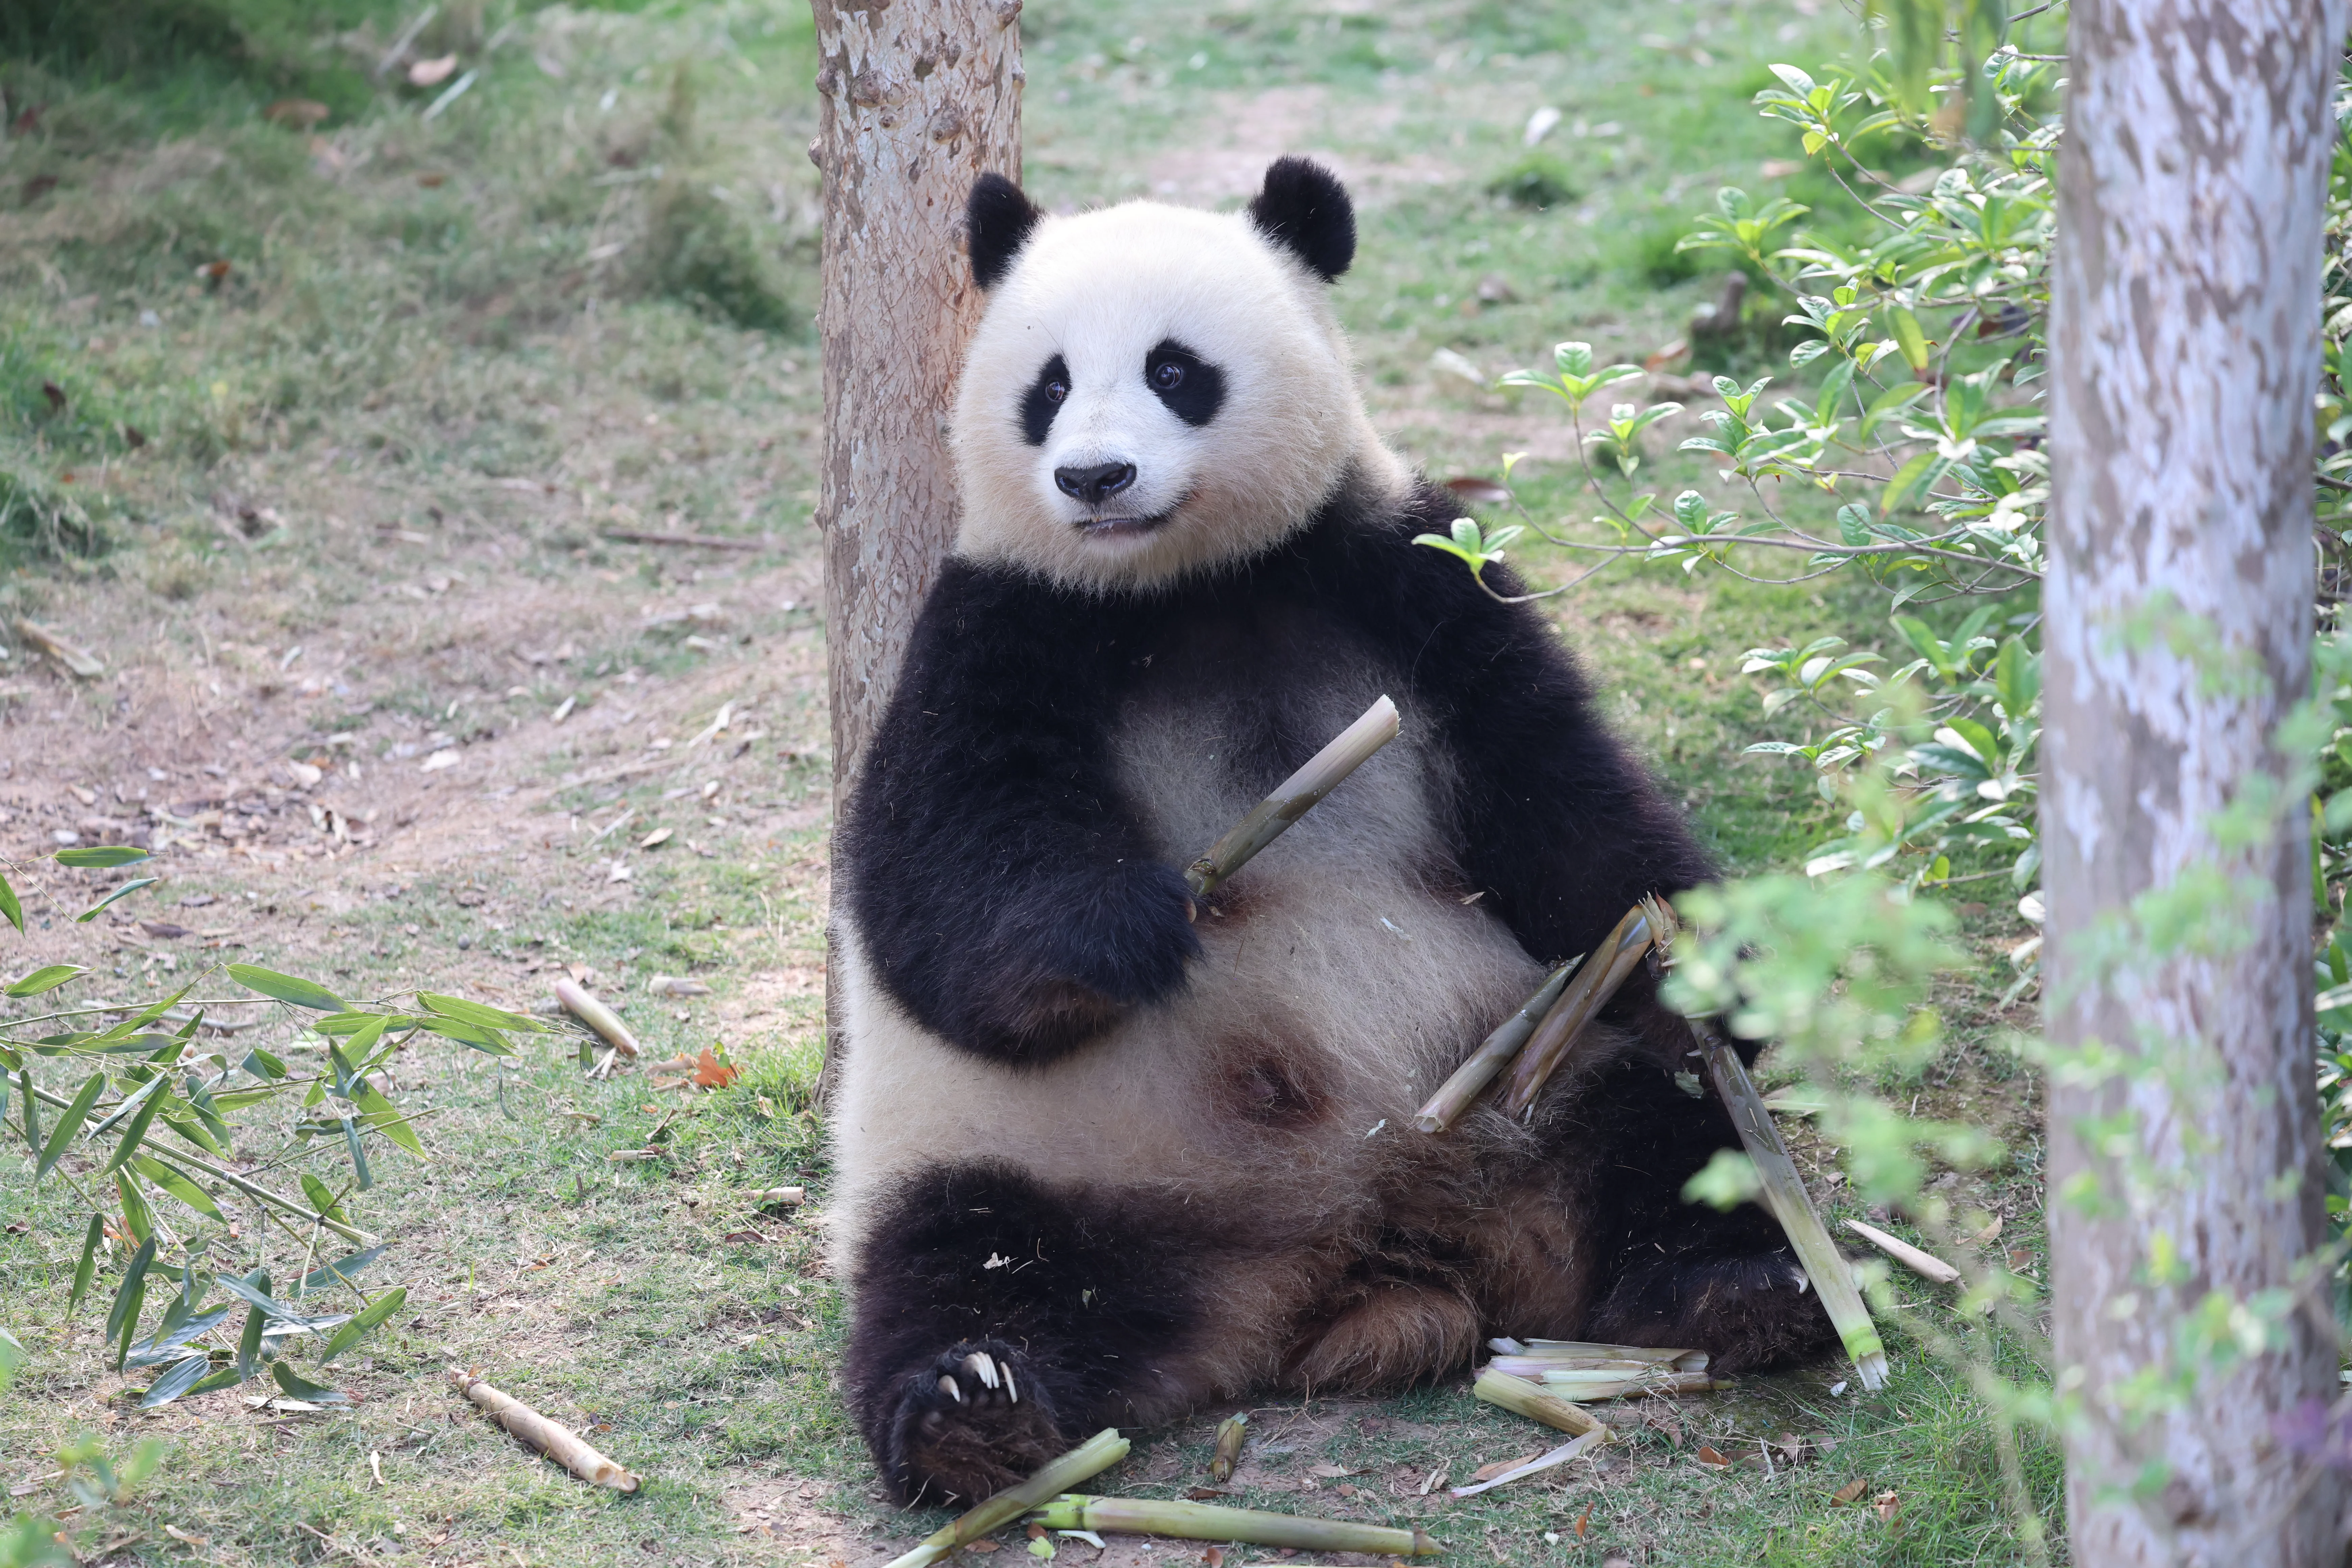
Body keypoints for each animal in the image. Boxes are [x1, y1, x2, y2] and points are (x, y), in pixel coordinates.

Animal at [831, 157, 1834, 1505]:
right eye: (1046, 386)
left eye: (1173, 369)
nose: (1092, 479)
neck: (1188, 588)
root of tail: (1360, 1255)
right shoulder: (1000, 630)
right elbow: (931, 897)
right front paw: (1127, 927)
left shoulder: (1406, 578)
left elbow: (1561, 797)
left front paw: (1697, 966)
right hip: (1036, 1157)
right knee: (965, 1262)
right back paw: (969, 1409)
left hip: (1540, 1084)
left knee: (1675, 1148)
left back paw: (1748, 1286)